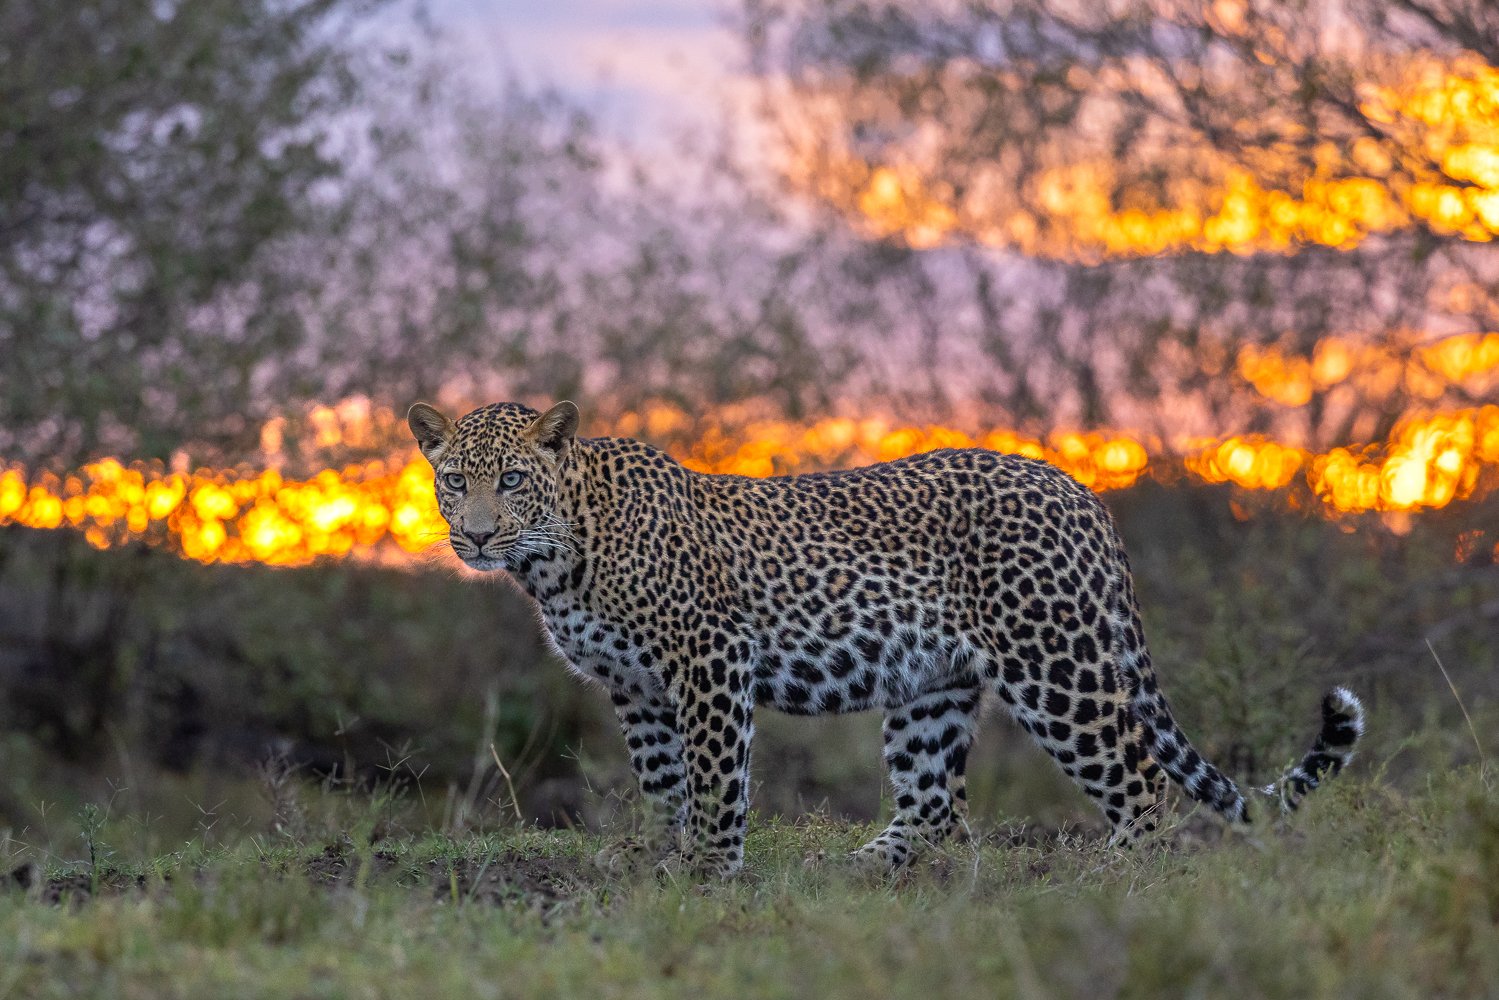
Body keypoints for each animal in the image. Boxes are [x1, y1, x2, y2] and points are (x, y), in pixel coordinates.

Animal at [407, 398, 1365, 878]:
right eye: (454, 481)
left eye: (513, 479)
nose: (479, 536)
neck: (559, 555)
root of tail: (1080, 491)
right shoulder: (635, 685)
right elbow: (661, 781)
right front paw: (658, 852)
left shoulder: (708, 659)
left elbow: (715, 777)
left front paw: (711, 870)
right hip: (930, 687)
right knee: (935, 804)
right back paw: (860, 866)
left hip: (1055, 667)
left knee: (1139, 779)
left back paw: (1120, 874)